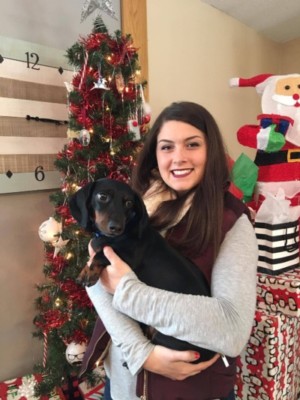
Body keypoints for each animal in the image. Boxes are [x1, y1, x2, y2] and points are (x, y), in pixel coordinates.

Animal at [69, 178, 216, 362]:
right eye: (102, 196)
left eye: (129, 203)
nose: (116, 228)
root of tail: (212, 353)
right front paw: (84, 271)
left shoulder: (128, 256)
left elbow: (100, 254)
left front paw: (89, 272)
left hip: (167, 338)